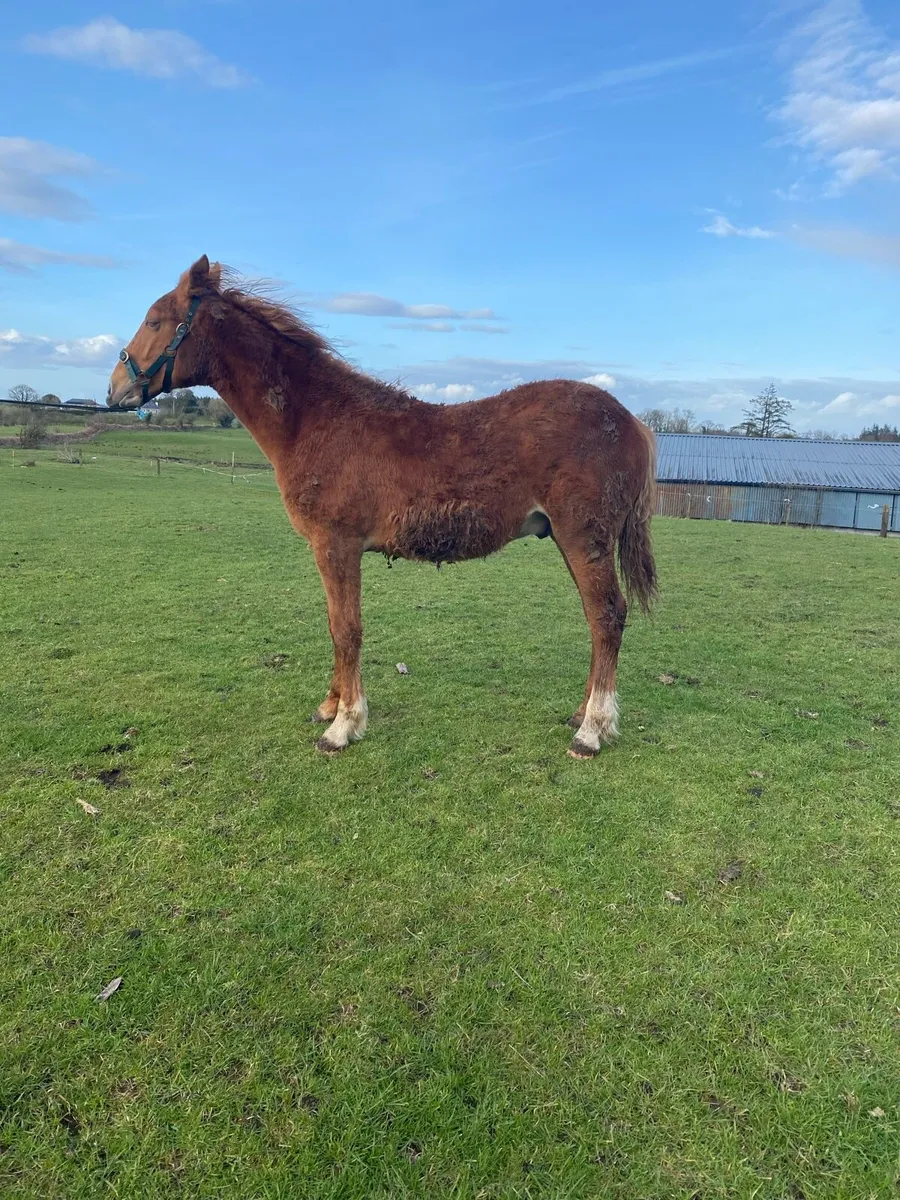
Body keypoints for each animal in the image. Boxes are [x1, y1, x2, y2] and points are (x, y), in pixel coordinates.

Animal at [107, 257, 657, 758]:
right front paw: (330, 706)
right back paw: (583, 715)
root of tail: (635, 421)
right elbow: (335, 626)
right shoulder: (330, 549)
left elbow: (346, 629)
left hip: (583, 537)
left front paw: (343, 726)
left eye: (154, 321)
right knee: (597, 618)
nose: (114, 388)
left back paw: (592, 731)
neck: (314, 419)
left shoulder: (336, 544)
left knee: (607, 615)